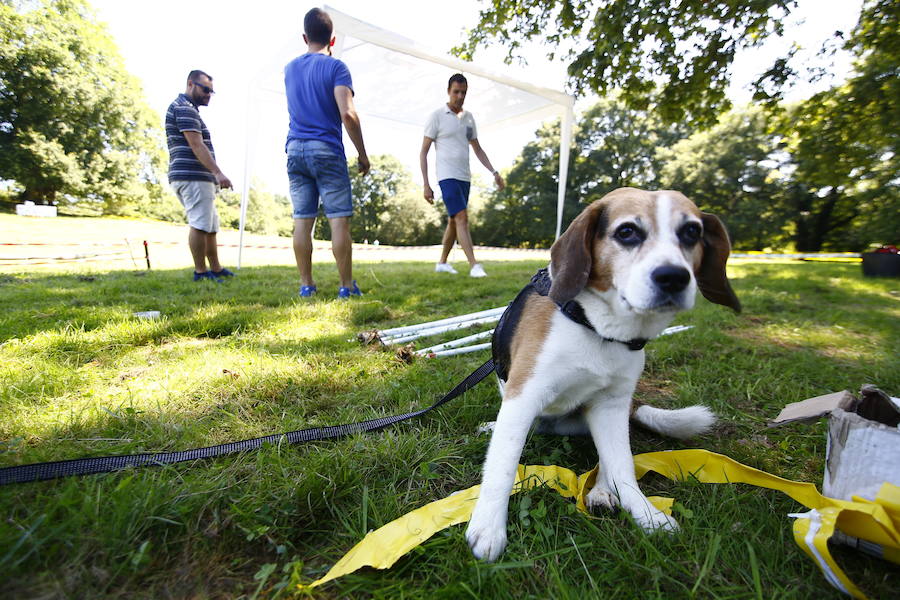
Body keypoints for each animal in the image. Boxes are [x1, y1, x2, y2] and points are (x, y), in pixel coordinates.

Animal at [464, 188, 740, 564]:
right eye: (627, 232)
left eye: (691, 232)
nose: (673, 277)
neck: (597, 327)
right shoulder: (523, 398)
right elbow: (502, 467)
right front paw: (489, 527)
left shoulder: (610, 405)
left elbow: (623, 467)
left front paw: (646, 515)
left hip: (606, 414)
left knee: (609, 459)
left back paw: (600, 492)